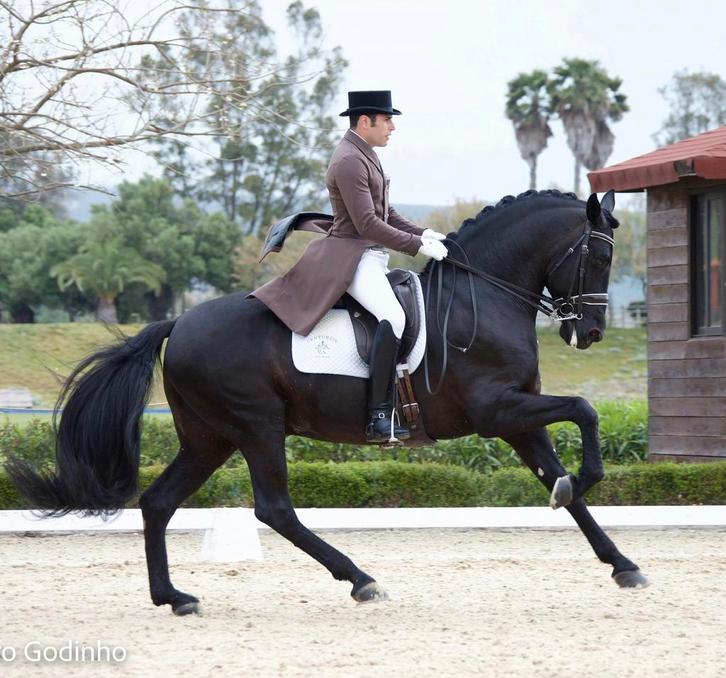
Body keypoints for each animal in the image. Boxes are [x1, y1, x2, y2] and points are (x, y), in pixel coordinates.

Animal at [6, 188, 650, 616]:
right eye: (600, 257)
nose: (590, 333)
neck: (482, 297)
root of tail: (178, 322)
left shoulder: (518, 416)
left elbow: (563, 480)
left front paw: (621, 562)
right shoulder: (497, 411)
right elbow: (586, 411)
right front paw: (582, 484)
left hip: (209, 438)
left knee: (158, 502)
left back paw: (174, 597)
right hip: (256, 427)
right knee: (274, 510)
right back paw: (361, 579)